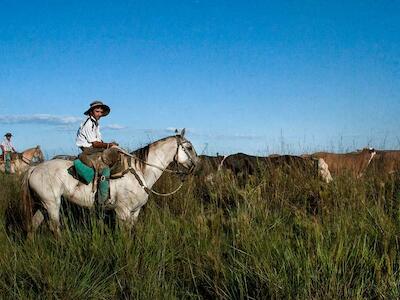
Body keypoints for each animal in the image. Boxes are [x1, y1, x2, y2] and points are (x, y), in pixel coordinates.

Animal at [21, 130, 197, 238]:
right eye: (188, 147)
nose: (197, 165)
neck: (140, 172)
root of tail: (34, 168)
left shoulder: (135, 212)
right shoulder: (122, 211)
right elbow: (124, 236)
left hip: (42, 204)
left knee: (33, 226)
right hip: (52, 204)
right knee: (54, 228)